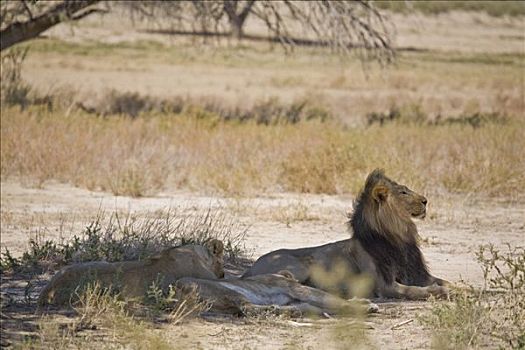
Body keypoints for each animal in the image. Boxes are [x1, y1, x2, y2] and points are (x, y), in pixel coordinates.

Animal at [244, 170, 448, 300]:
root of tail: (251, 267)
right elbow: (415, 290)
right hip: (299, 266)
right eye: (403, 192)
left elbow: (445, 281)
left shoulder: (416, 274)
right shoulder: (385, 285)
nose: (426, 201)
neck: (399, 237)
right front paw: (440, 292)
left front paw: (454, 288)